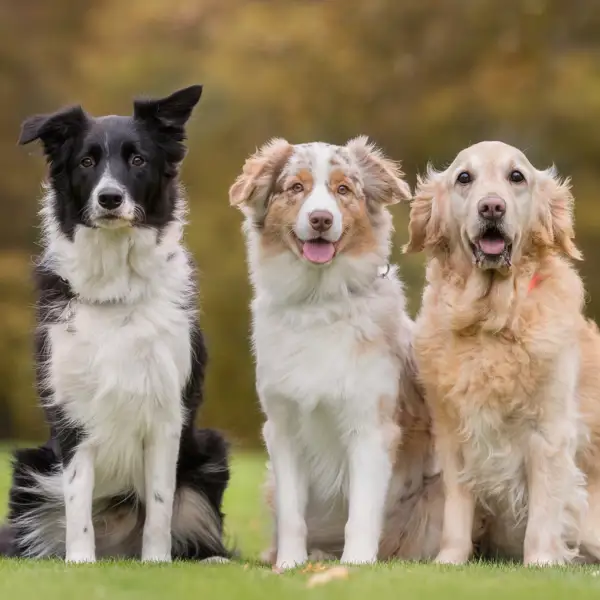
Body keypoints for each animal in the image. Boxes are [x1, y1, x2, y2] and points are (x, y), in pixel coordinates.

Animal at [0, 84, 230, 564]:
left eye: (138, 159)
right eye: (86, 162)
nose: (109, 198)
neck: (116, 287)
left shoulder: (168, 413)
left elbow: (160, 505)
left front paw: (156, 564)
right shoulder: (72, 415)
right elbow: (77, 499)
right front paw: (81, 564)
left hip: (209, 455)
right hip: (30, 467)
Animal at [230, 138, 446, 568]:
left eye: (343, 189)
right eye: (296, 187)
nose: (320, 220)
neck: (318, 303)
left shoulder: (370, 426)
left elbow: (361, 511)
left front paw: (357, 565)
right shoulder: (283, 427)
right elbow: (292, 514)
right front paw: (289, 565)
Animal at [406, 143, 600, 564]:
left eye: (517, 177)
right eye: (464, 177)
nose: (492, 207)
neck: (491, 320)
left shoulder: (549, 432)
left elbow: (544, 513)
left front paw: (541, 562)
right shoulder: (453, 434)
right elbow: (456, 510)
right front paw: (449, 561)